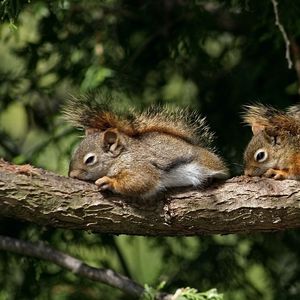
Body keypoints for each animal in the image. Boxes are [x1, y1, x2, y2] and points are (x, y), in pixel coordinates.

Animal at [62, 94, 227, 197]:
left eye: (90, 160)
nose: (72, 175)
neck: (121, 156)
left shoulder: (139, 165)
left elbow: (143, 180)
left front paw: (109, 182)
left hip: (207, 163)